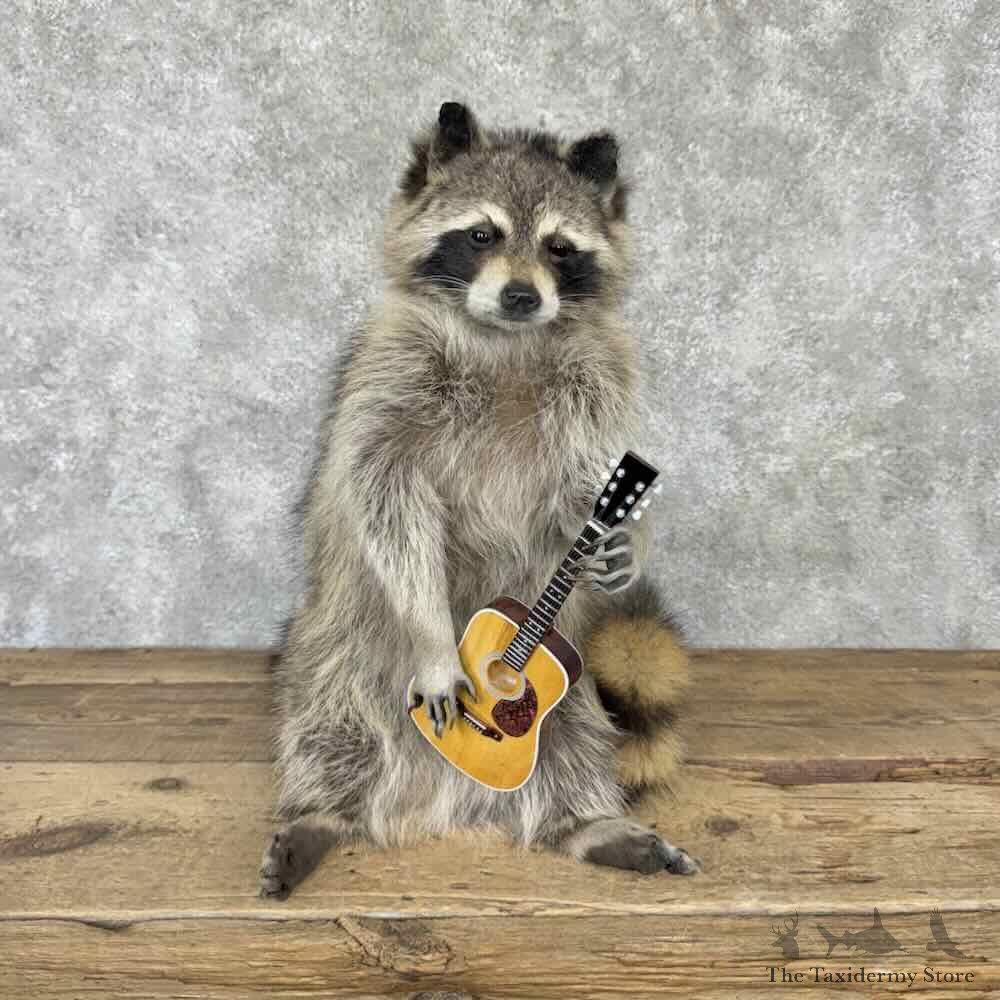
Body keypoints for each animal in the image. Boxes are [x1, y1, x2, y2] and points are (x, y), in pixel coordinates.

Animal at [259, 103, 696, 899]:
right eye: (482, 234)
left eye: (559, 247)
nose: (523, 295)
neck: (504, 339)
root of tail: (442, 804)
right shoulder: (387, 380)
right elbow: (384, 503)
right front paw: (437, 638)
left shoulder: (597, 388)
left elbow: (577, 492)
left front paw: (628, 541)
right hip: (335, 648)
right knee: (327, 719)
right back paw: (323, 812)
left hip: (574, 699)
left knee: (577, 741)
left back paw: (587, 823)